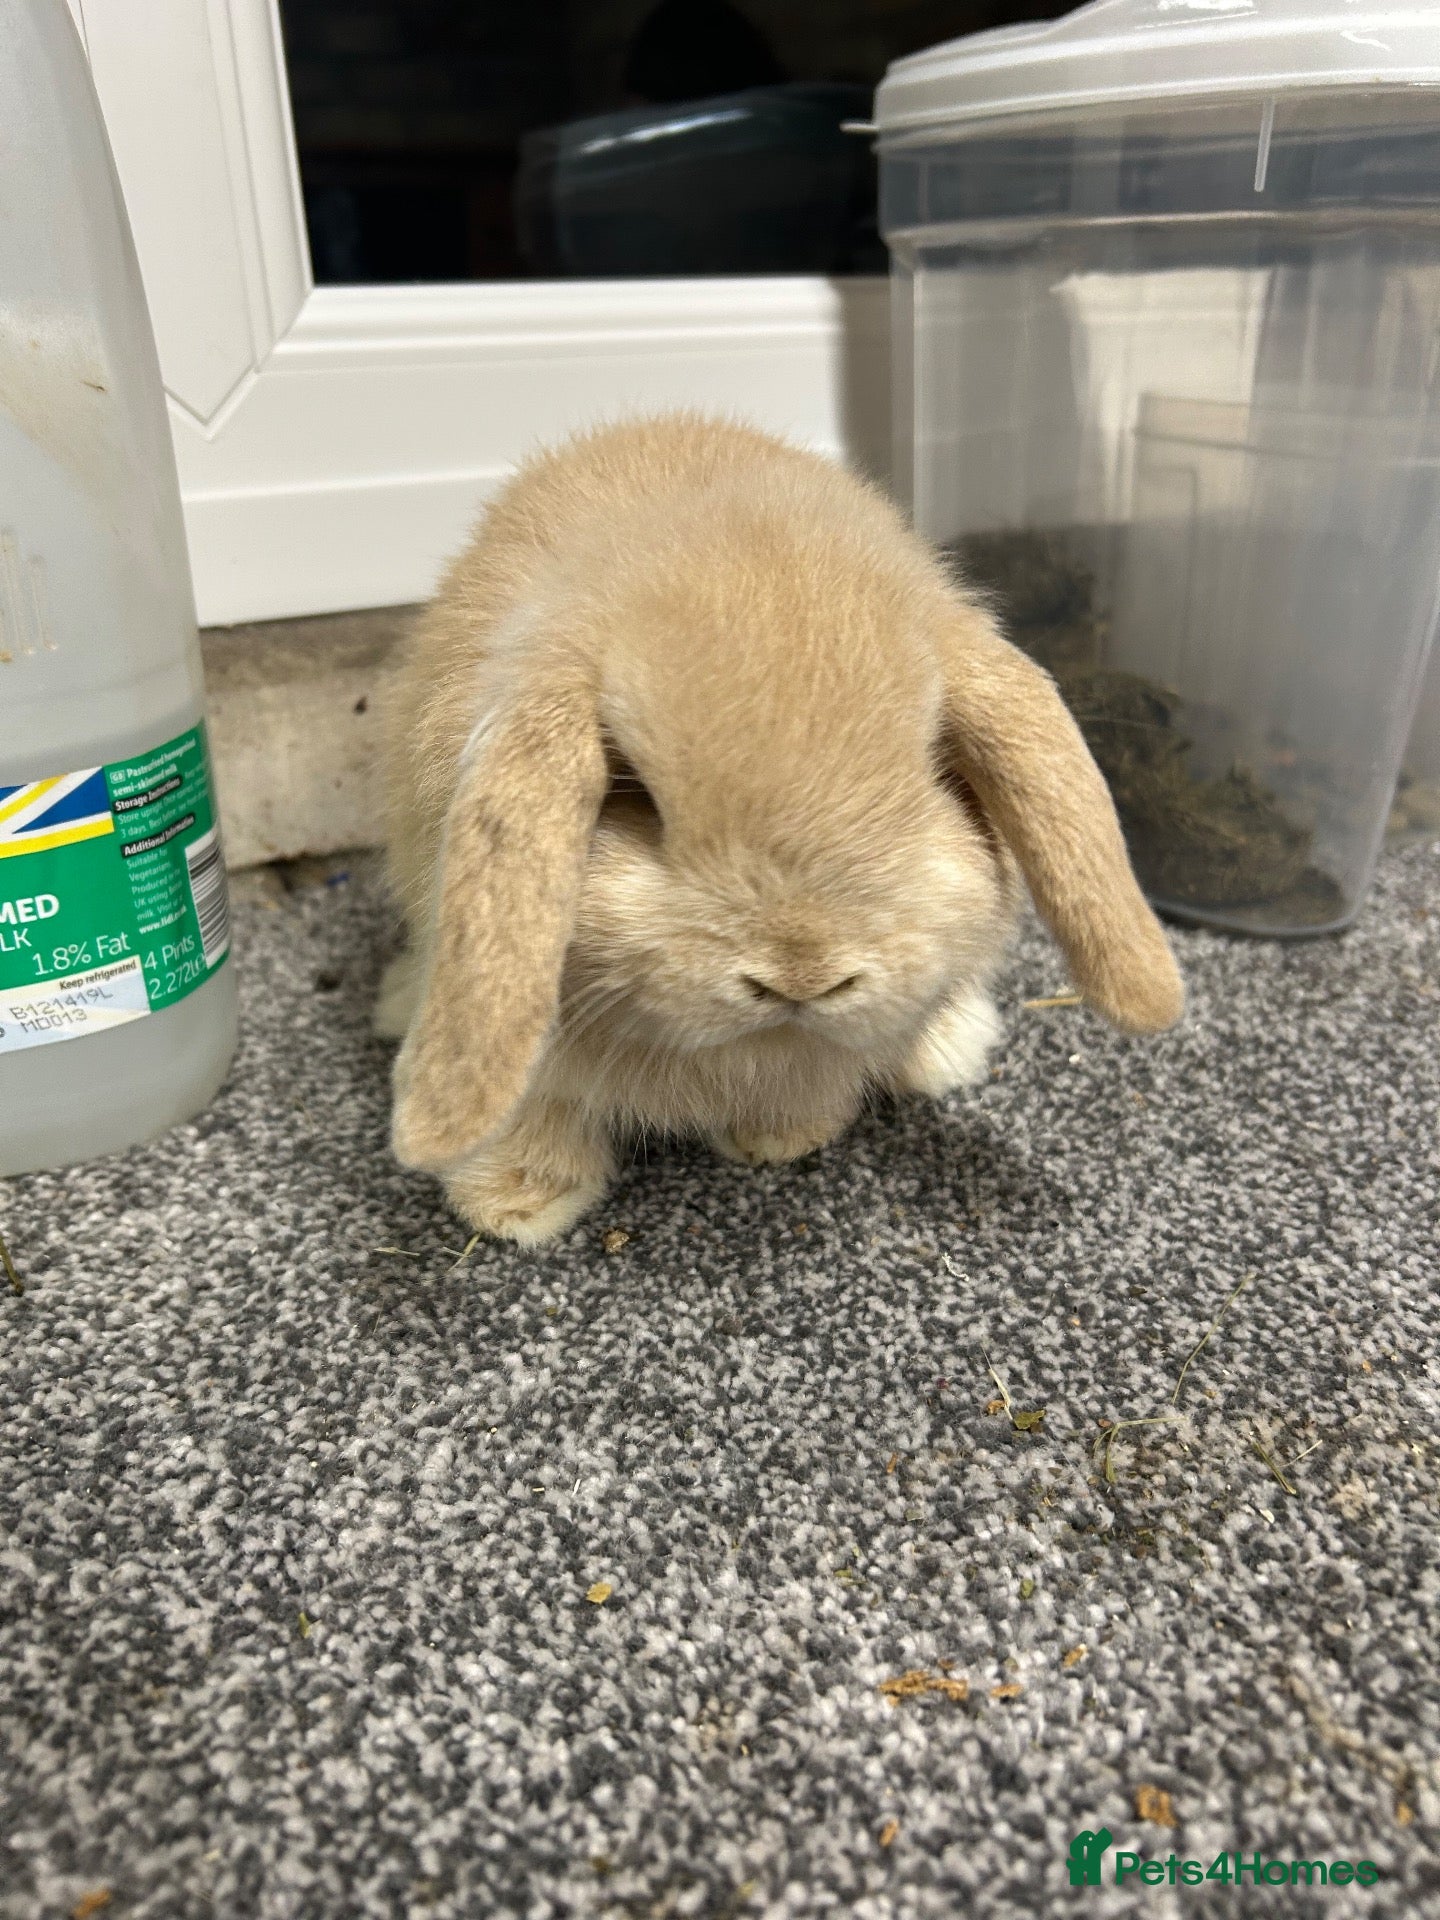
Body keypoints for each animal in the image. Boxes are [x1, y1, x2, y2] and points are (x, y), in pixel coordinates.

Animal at [378, 414, 1183, 1244]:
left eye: (931, 767)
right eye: (637, 794)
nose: (802, 975)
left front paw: (778, 1141)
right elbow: (538, 1106)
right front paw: (514, 1208)